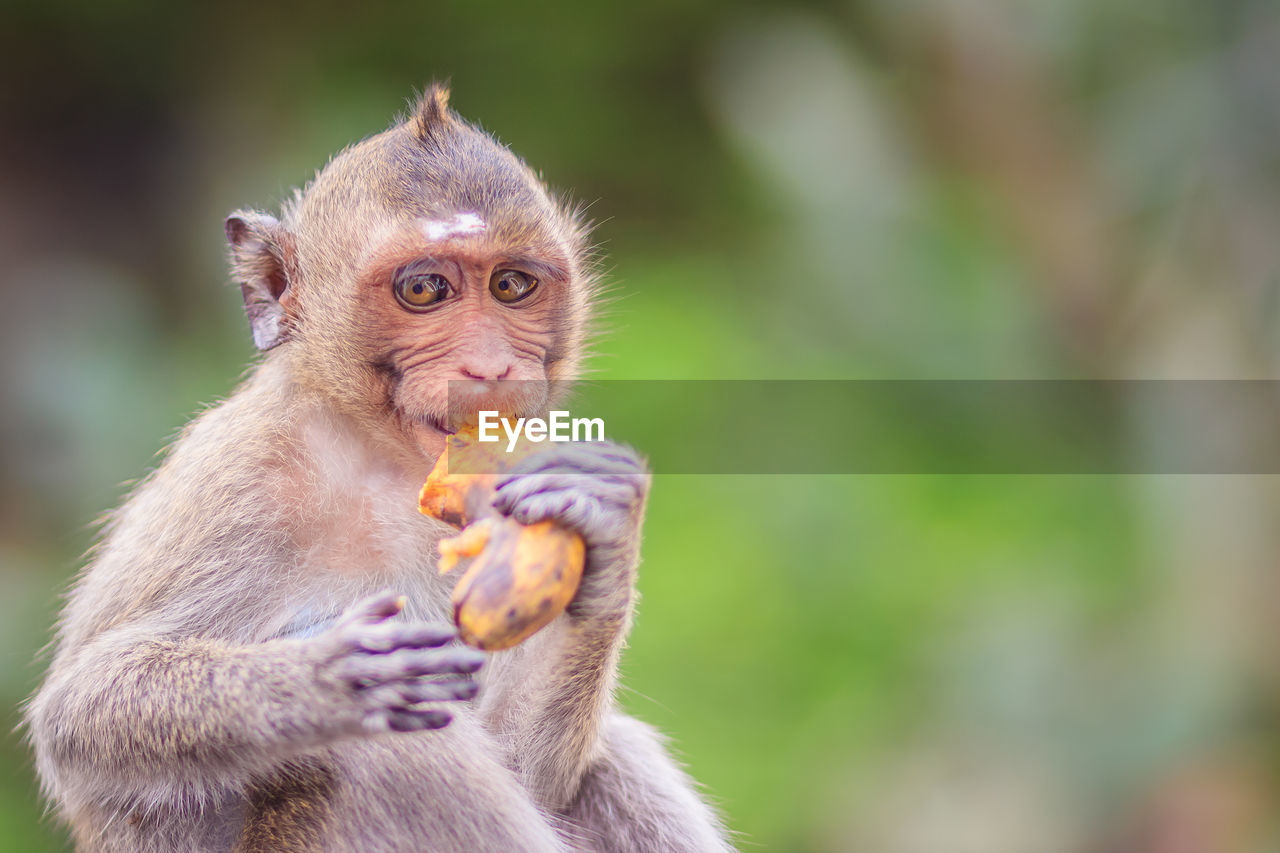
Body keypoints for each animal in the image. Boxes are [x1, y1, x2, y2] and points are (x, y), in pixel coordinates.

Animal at [24, 87, 737, 850]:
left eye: (512, 285)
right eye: (424, 289)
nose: (491, 366)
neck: (378, 455)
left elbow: (534, 769)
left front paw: (603, 522)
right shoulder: (237, 477)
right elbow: (78, 711)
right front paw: (325, 681)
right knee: (383, 747)